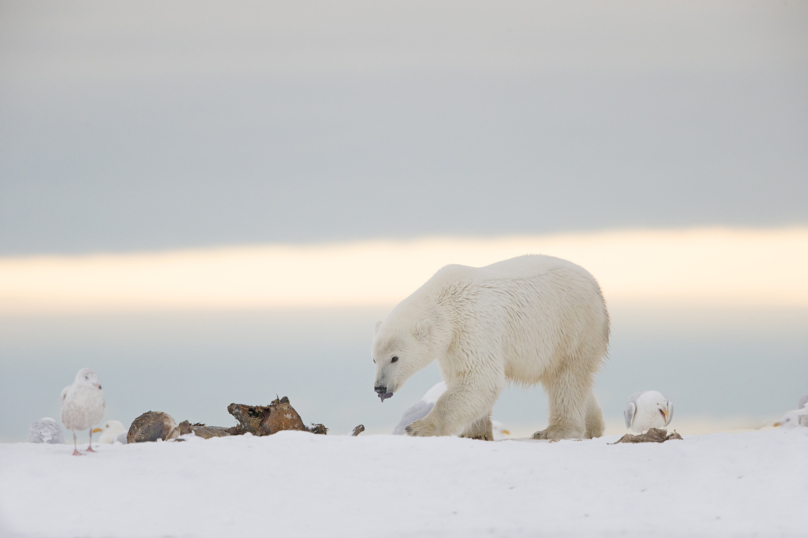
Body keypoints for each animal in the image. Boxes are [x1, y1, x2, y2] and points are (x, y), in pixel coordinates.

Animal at [370, 253, 608, 438]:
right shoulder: (451, 345)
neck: (447, 304)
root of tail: (595, 285)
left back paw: (555, 430)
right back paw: (592, 427)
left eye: (394, 358)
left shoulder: (473, 326)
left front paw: (418, 427)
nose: (380, 388)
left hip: (572, 326)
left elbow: (480, 378)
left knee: (567, 377)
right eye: (374, 359)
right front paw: (475, 433)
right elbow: (463, 378)